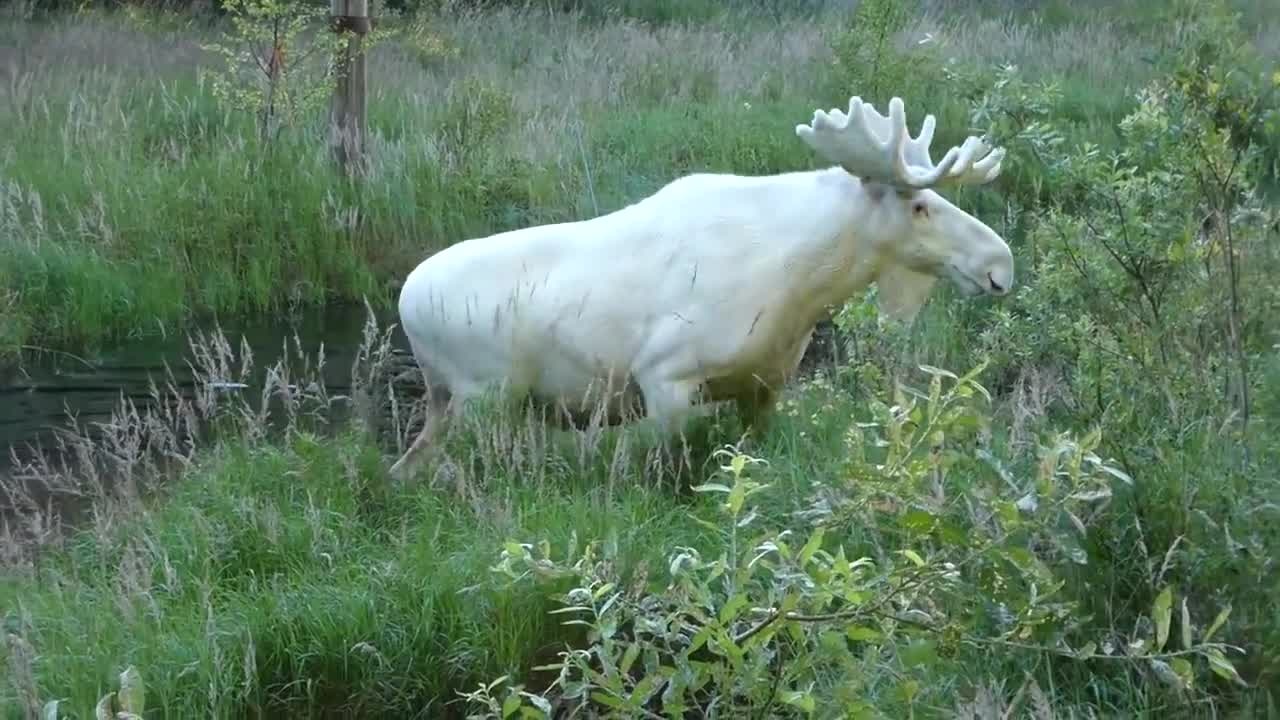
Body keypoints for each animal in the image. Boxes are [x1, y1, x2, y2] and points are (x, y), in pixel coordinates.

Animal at [386, 94, 1015, 483]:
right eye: (920, 205)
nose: (1000, 263)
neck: (804, 284)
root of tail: (405, 299)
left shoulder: (765, 384)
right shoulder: (666, 377)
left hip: (446, 402)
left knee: (405, 467)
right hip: (485, 396)